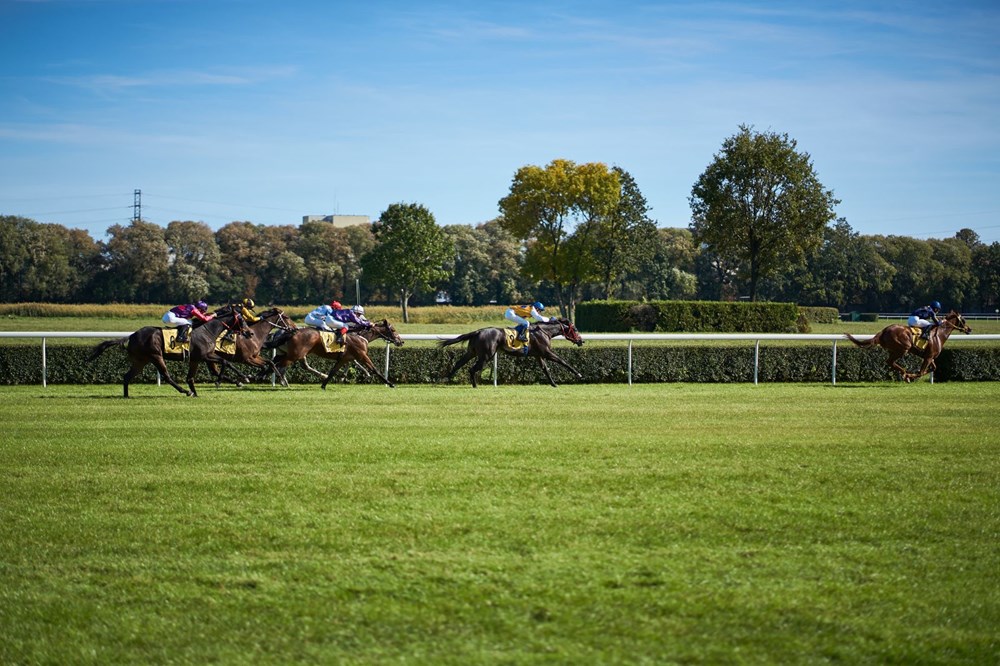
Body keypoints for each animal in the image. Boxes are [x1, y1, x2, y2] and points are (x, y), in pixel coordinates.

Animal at [89, 310, 249, 396]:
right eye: (242, 319)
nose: (250, 333)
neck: (207, 330)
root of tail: (132, 335)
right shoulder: (204, 356)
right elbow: (225, 361)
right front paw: (233, 379)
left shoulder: (197, 358)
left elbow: (192, 377)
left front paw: (241, 379)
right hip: (156, 356)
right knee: (166, 376)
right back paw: (185, 391)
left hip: (141, 360)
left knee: (127, 376)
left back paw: (126, 396)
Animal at [438, 318, 584, 386]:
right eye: (576, 329)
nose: (581, 341)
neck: (543, 332)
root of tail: (478, 331)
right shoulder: (546, 352)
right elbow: (563, 361)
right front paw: (578, 374)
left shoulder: (538, 355)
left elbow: (545, 369)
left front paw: (553, 384)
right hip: (486, 355)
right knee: (472, 369)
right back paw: (474, 385)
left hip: (472, 352)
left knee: (459, 363)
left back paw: (447, 378)